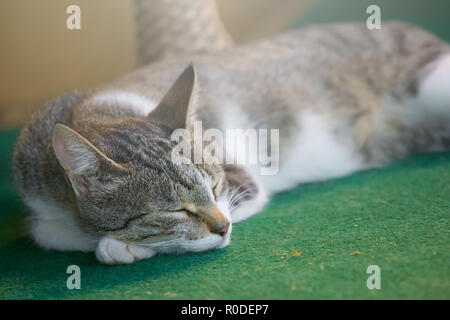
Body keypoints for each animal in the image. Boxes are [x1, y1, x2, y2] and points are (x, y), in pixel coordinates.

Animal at [12, 21, 448, 264]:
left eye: (215, 186)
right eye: (175, 209)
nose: (222, 227)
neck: (100, 108)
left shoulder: (242, 181)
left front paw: (119, 246)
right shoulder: (35, 191)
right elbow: (47, 232)